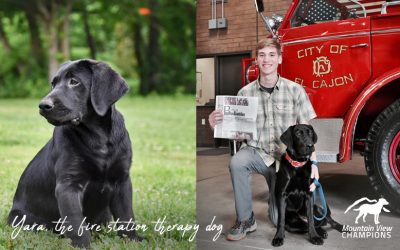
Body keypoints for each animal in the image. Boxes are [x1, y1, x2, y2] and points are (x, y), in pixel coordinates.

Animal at [7, 59, 142, 247]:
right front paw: (82, 245)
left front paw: (132, 240)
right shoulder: (68, 185)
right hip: (22, 218)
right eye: (53, 84)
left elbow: (126, 216)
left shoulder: (122, 180)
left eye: (74, 82)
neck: (97, 137)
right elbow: (76, 222)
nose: (43, 105)